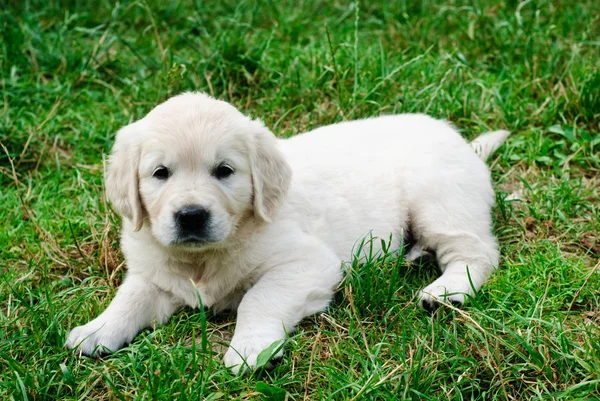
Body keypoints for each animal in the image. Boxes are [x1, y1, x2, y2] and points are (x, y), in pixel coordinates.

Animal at [64, 92, 506, 374]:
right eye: (160, 173)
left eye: (224, 171)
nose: (191, 216)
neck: (204, 257)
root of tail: (462, 142)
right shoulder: (153, 273)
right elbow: (129, 299)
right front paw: (95, 331)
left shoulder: (306, 264)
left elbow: (258, 299)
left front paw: (249, 349)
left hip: (439, 202)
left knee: (477, 251)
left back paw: (446, 291)